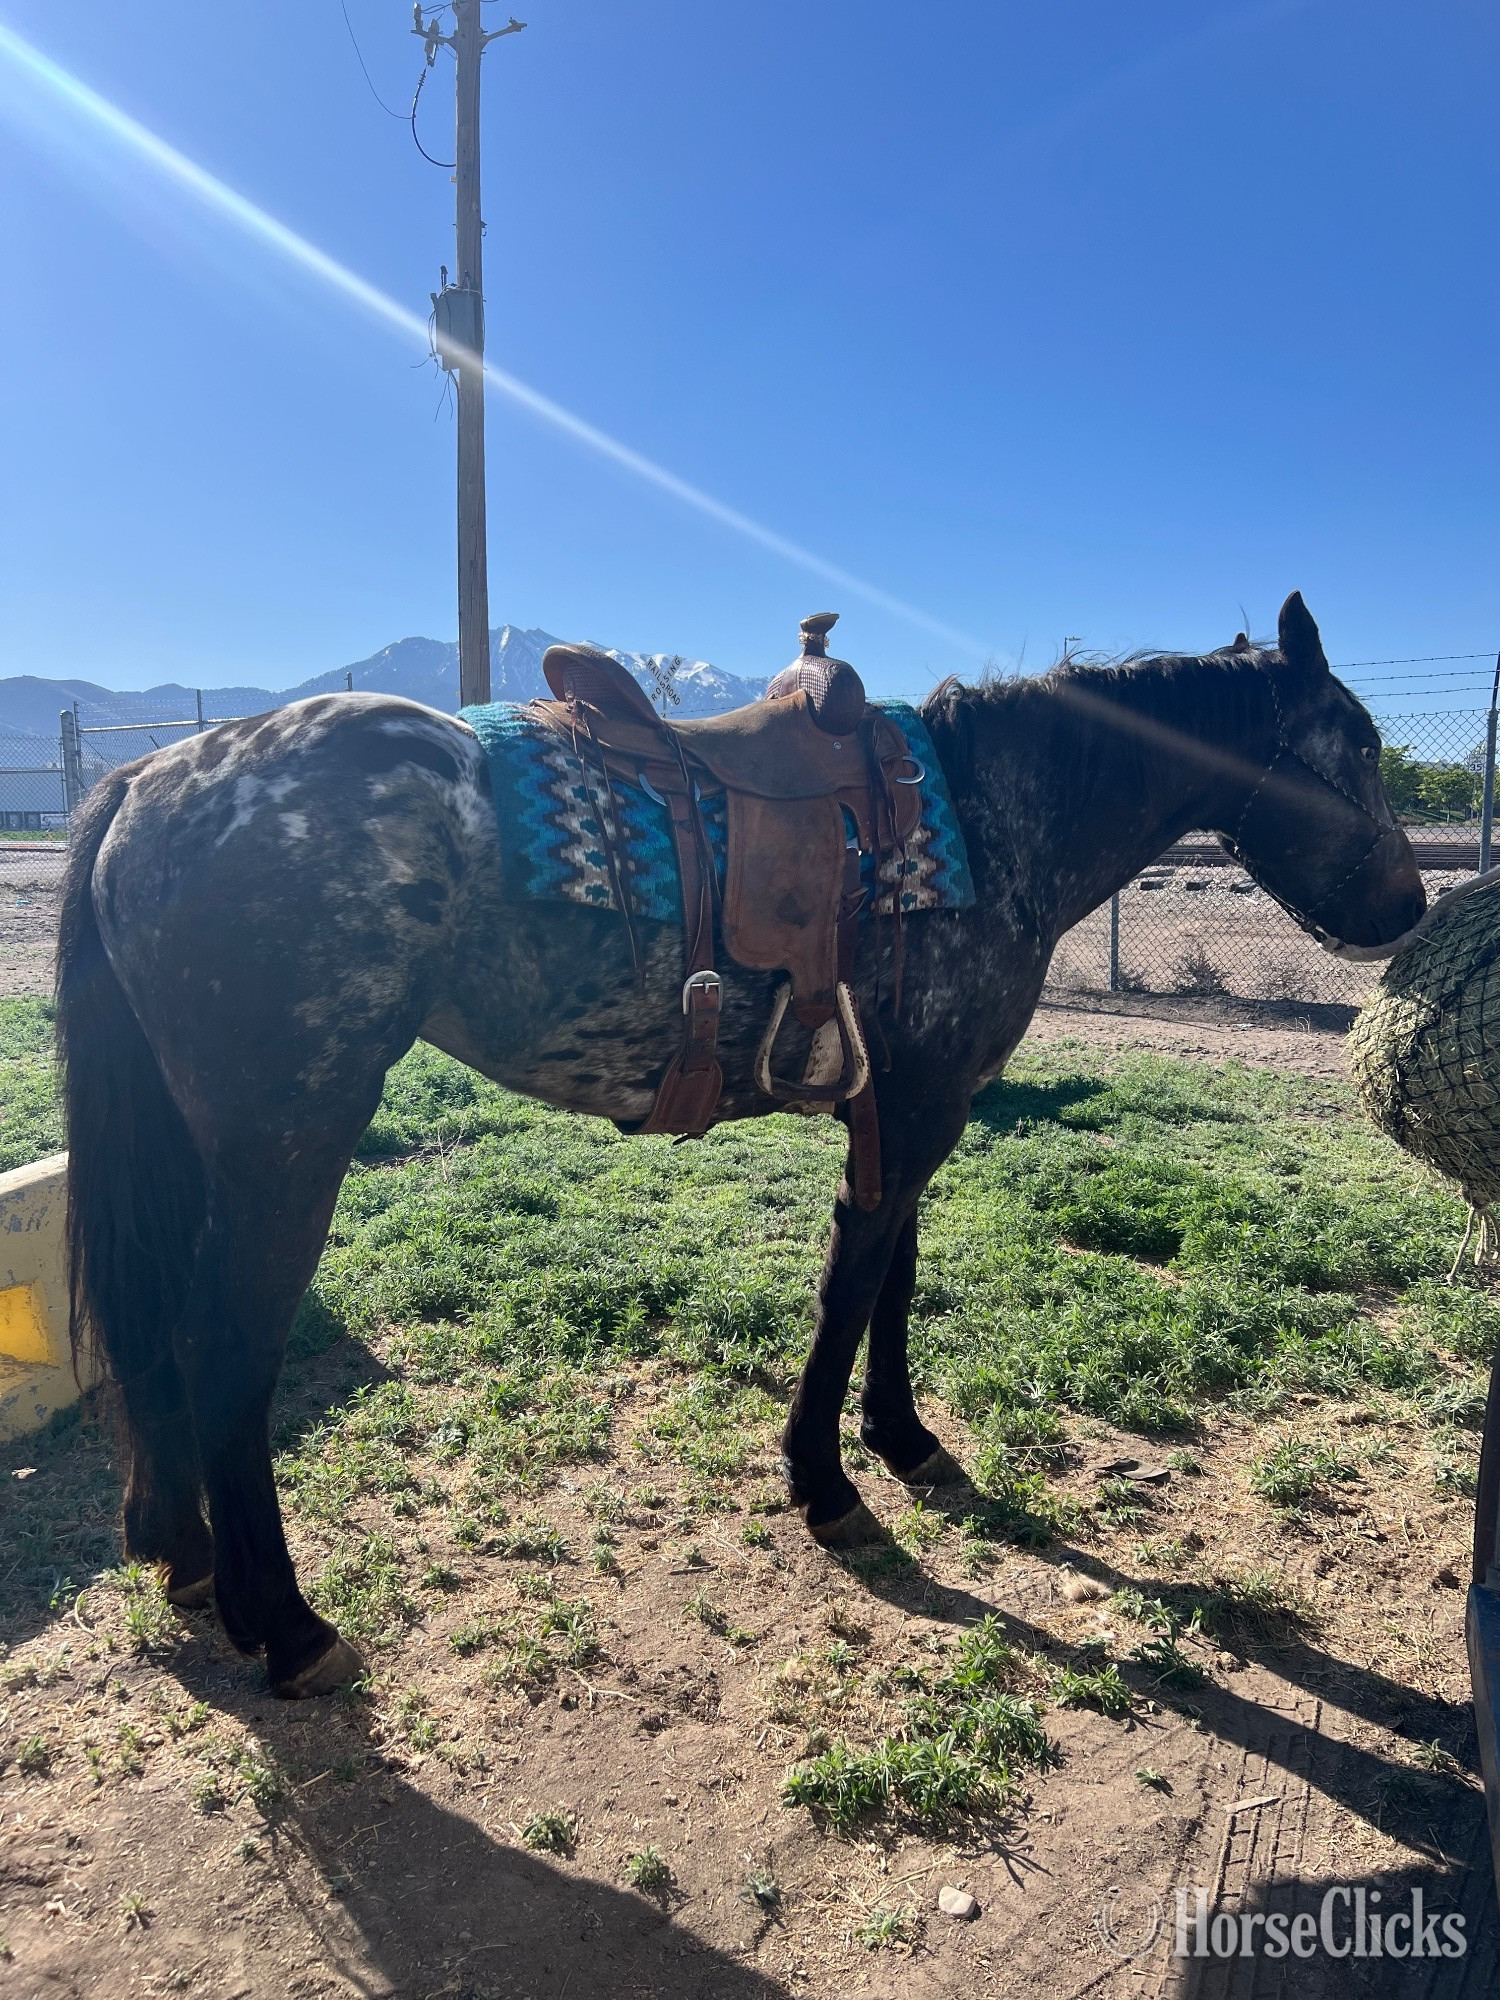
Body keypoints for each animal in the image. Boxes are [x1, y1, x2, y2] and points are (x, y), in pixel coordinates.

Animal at [55, 591, 1424, 1697]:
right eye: (1356, 744)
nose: (1407, 907)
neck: (988, 819)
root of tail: (152, 777)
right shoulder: (921, 1106)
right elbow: (853, 1283)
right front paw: (827, 1482)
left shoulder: (907, 1102)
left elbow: (894, 1278)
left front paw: (905, 1441)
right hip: (286, 1141)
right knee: (222, 1346)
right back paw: (286, 1624)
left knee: (160, 1331)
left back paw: (181, 1554)